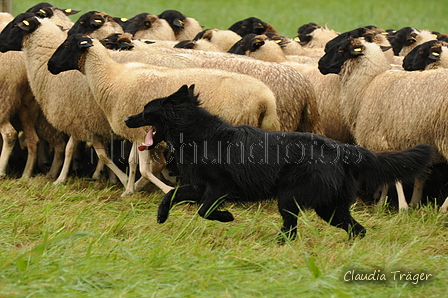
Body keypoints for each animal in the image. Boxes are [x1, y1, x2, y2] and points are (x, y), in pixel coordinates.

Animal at [124, 85, 436, 239]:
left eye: (146, 111)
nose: (127, 119)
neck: (197, 133)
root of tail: (341, 149)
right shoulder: (198, 186)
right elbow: (171, 196)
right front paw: (162, 216)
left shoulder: (217, 187)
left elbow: (204, 210)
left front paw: (226, 217)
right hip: (329, 207)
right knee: (355, 229)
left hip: (291, 198)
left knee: (293, 229)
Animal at [320, 36, 448, 212]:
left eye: (340, 50)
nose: (320, 64)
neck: (367, 85)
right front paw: (384, 202)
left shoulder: (381, 139)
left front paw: (402, 207)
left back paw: (442, 209)